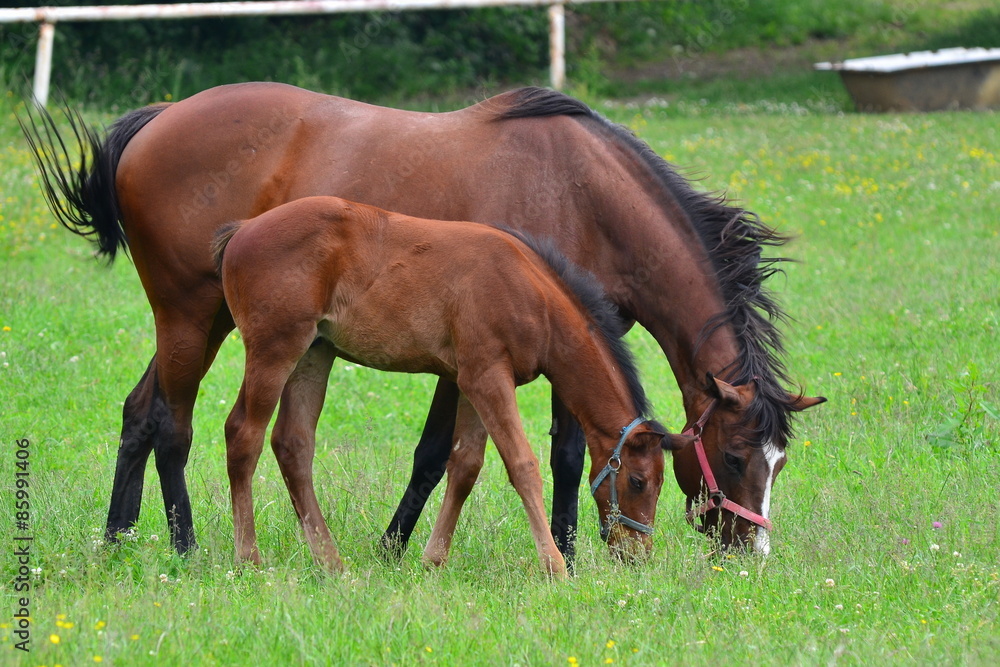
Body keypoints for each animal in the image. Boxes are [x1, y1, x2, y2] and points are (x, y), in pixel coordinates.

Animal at [212, 195, 688, 576]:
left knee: (292, 444)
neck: (531, 292)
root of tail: (243, 230)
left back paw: (330, 562)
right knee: (243, 434)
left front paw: (433, 559)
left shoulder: (472, 381)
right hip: (275, 349)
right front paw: (554, 566)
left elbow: (465, 466)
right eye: (639, 482)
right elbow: (522, 465)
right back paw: (248, 558)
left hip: (315, 352)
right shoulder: (487, 378)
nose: (638, 553)